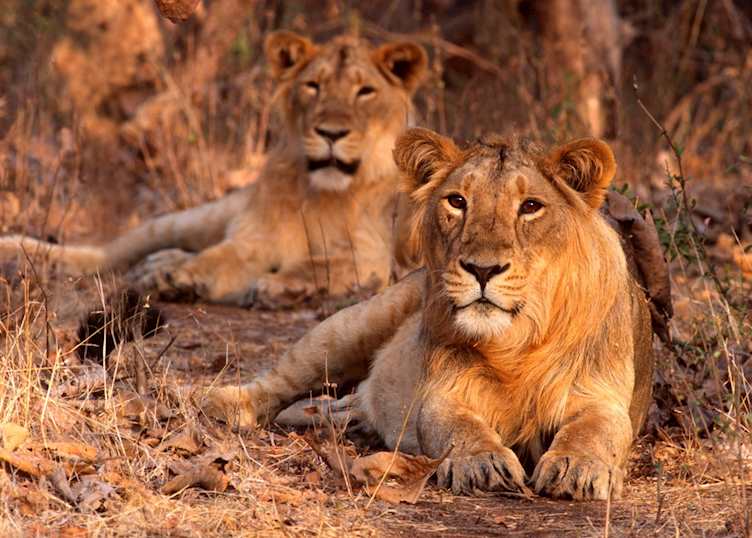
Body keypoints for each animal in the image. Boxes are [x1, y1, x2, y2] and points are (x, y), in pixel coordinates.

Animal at [0, 32, 428, 307]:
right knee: (110, 253)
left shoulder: (375, 256)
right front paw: (183, 277)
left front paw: (281, 287)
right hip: (193, 218)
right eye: (313, 86)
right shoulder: (254, 238)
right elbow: (220, 257)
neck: (324, 192)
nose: (331, 133)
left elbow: (323, 264)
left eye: (365, 91)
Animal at [201, 127, 660, 500]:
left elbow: (595, 430)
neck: (518, 342)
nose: (482, 269)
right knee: (279, 381)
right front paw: (481, 462)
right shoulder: (443, 392)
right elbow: (458, 427)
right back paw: (213, 401)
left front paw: (576, 467)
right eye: (457, 201)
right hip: (353, 325)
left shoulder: (602, 395)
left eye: (531, 206)